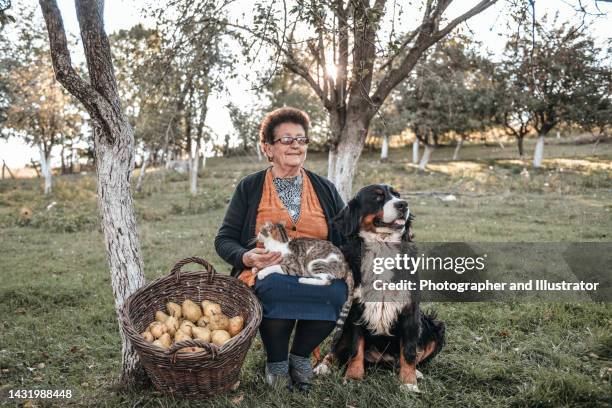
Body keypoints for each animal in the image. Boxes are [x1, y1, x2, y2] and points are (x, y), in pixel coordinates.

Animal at [316, 184, 444, 392]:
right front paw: (353, 376)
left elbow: (409, 351)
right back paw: (323, 366)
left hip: (434, 325)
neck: (382, 247)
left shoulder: (410, 309)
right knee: (336, 347)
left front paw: (409, 383)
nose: (403, 204)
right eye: (378, 197)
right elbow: (356, 348)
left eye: (397, 195)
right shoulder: (355, 309)